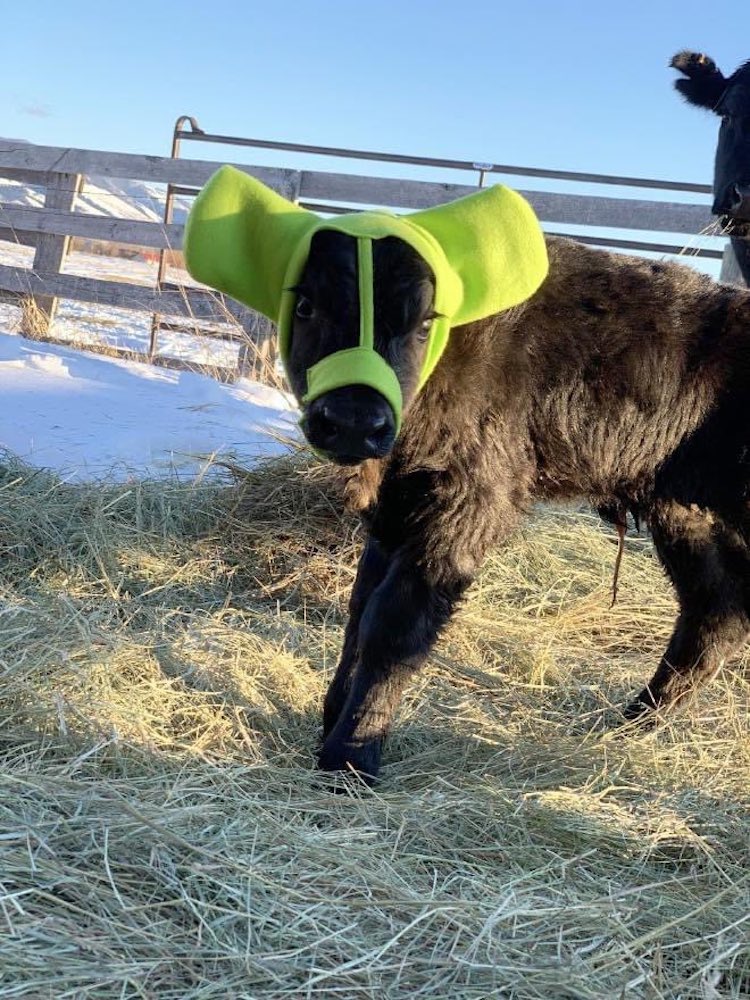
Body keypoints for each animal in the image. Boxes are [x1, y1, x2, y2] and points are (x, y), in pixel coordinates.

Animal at [284, 229, 750, 780]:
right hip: (687, 519)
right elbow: (361, 610)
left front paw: (351, 757)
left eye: (424, 324)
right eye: (306, 305)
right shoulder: (396, 515)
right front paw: (331, 721)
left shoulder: (464, 509)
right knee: (716, 614)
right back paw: (630, 724)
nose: (354, 421)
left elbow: (394, 626)